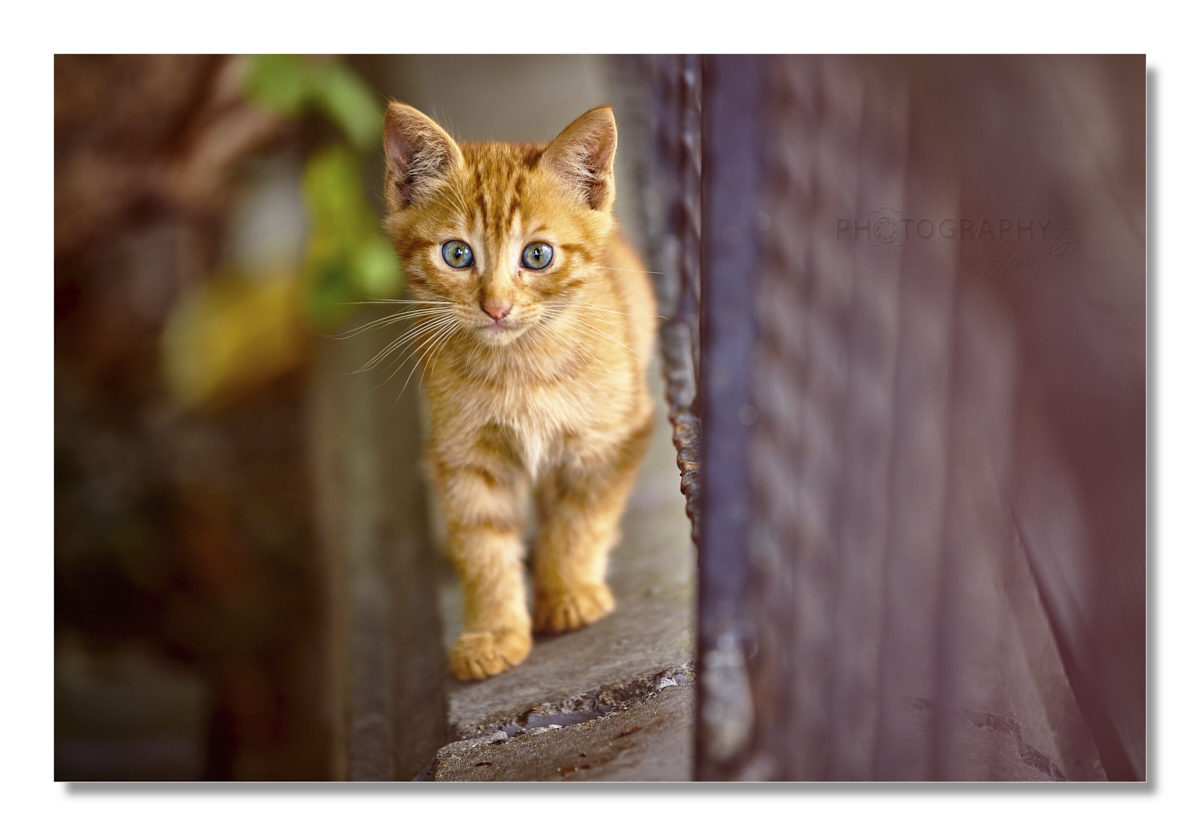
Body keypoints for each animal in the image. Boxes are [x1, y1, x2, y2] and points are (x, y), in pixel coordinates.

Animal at [381, 101, 657, 681]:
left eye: (536, 256)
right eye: (457, 254)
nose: (496, 306)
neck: (519, 370)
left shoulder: (610, 439)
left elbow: (580, 518)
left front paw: (568, 592)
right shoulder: (464, 455)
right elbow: (482, 544)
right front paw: (493, 632)